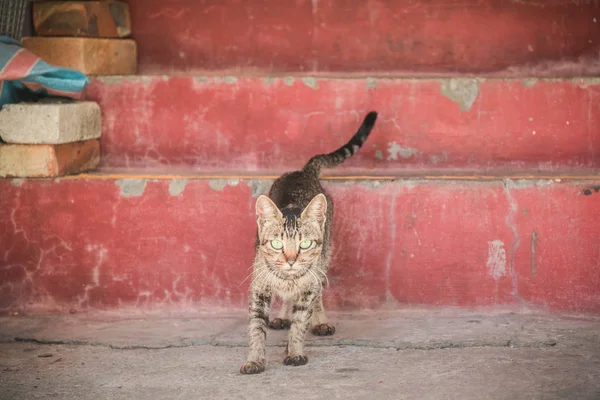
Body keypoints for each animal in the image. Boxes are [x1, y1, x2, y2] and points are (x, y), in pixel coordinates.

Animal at [241, 111, 378, 374]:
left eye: (305, 245)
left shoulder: (309, 286)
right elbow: (255, 327)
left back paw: (320, 321)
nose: (291, 260)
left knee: (318, 295)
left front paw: (294, 352)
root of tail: (302, 172)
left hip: (325, 258)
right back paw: (283, 315)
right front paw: (255, 359)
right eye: (276, 244)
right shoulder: (258, 288)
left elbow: (300, 322)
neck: (288, 278)